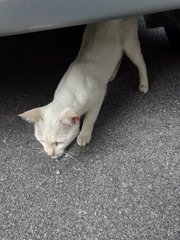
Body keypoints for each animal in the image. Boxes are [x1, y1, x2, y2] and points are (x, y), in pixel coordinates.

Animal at [19, 17, 149, 159]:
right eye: (42, 141)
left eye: (58, 142)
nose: (50, 154)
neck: (71, 89)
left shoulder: (98, 97)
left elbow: (90, 119)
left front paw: (84, 135)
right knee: (118, 56)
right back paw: (112, 74)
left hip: (130, 42)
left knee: (141, 63)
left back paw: (144, 84)